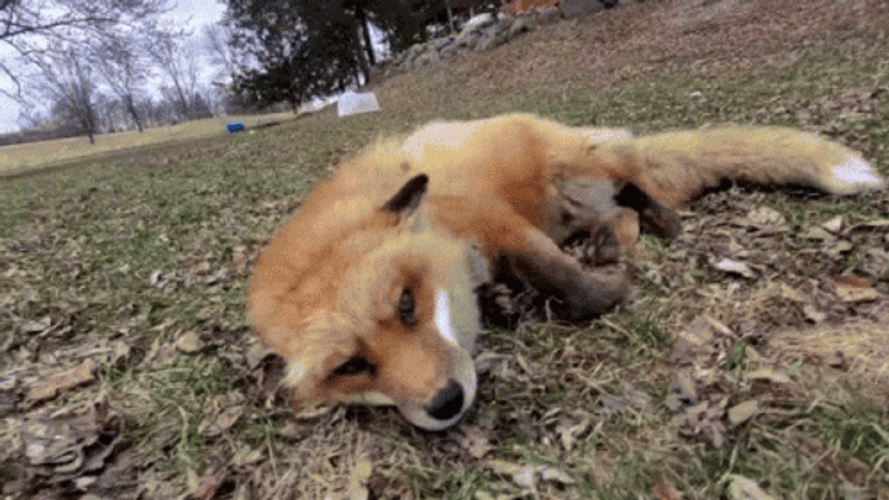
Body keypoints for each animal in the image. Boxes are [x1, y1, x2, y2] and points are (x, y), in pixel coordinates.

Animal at [247, 113, 883, 430]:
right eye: (352, 366)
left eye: (407, 304)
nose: (447, 403)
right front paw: (505, 300)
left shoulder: (496, 220)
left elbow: (562, 280)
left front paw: (607, 294)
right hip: (575, 204)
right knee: (620, 210)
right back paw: (616, 236)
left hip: (580, 166)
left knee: (638, 187)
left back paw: (663, 221)